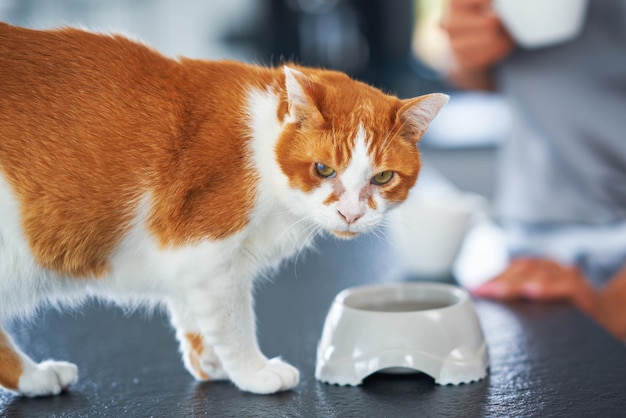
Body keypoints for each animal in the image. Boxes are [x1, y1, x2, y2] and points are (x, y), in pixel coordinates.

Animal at [0, 22, 444, 396]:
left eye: (382, 178)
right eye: (323, 169)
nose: (351, 214)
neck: (262, 147)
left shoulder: (186, 265)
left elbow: (192, 314)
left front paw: (210, 362)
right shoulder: (207, 254)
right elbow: (234, 322)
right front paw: (252, 370)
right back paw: (37, 377)